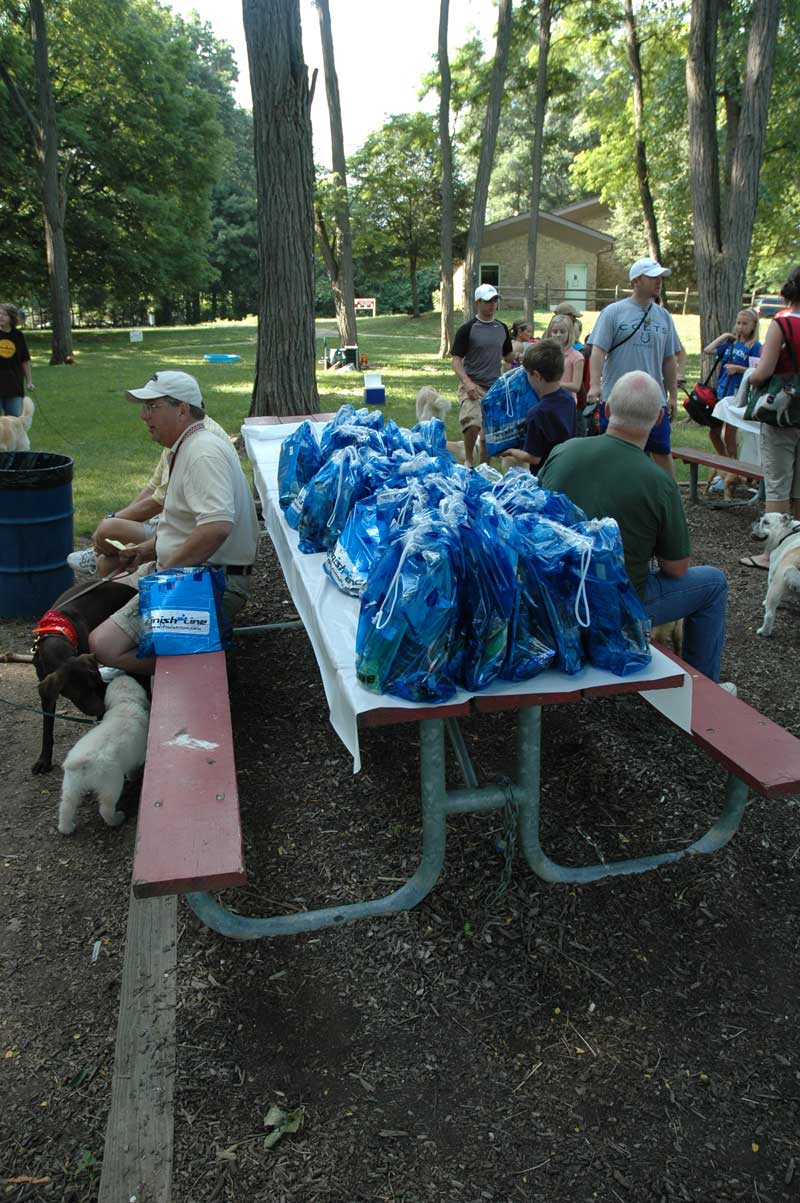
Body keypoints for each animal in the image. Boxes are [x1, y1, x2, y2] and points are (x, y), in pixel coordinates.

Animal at [31, 577, 135, 774]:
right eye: (76, 694)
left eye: (93, 687)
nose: (101, 709)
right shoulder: (47, 695)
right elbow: (47, 730)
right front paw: (44, 760)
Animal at [56, 673, 150, 832]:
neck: (124, 702)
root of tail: (83, 760)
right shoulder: (138, 754)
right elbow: (134, 767)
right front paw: (134, 777)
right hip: (111, 783)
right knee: (105, 809)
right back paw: (117, 819)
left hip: (71, 785)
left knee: (66, 807)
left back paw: (66, 828)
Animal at [750, 510, 798, 639]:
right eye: (761, 518)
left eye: (766, 522)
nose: (757, 519)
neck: (787, 532)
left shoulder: (772, 573)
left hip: (776, 587)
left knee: (769, 615)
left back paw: (764, 631)